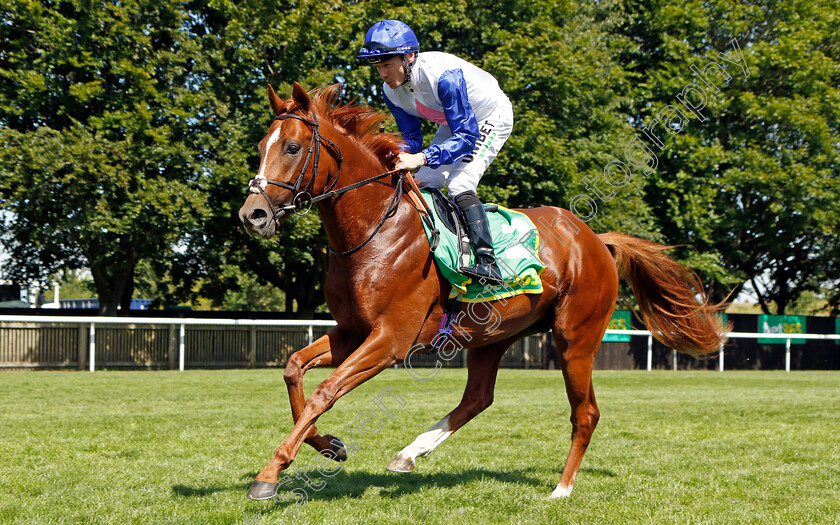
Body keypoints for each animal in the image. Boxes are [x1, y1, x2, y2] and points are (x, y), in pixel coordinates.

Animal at [238, 82, 728, 500]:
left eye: (293, 147)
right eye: (261, 147)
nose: (252, 215)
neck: (374, 231)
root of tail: (596, 240)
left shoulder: (390, 340)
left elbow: (325, 391)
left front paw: (270, 474)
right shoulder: (353, 332)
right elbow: (294, 369)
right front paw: (328, 445)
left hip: (575, 339)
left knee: (585, 413)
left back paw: (561, 489)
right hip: (492, 335)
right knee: (478, 398)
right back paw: (409, 453)